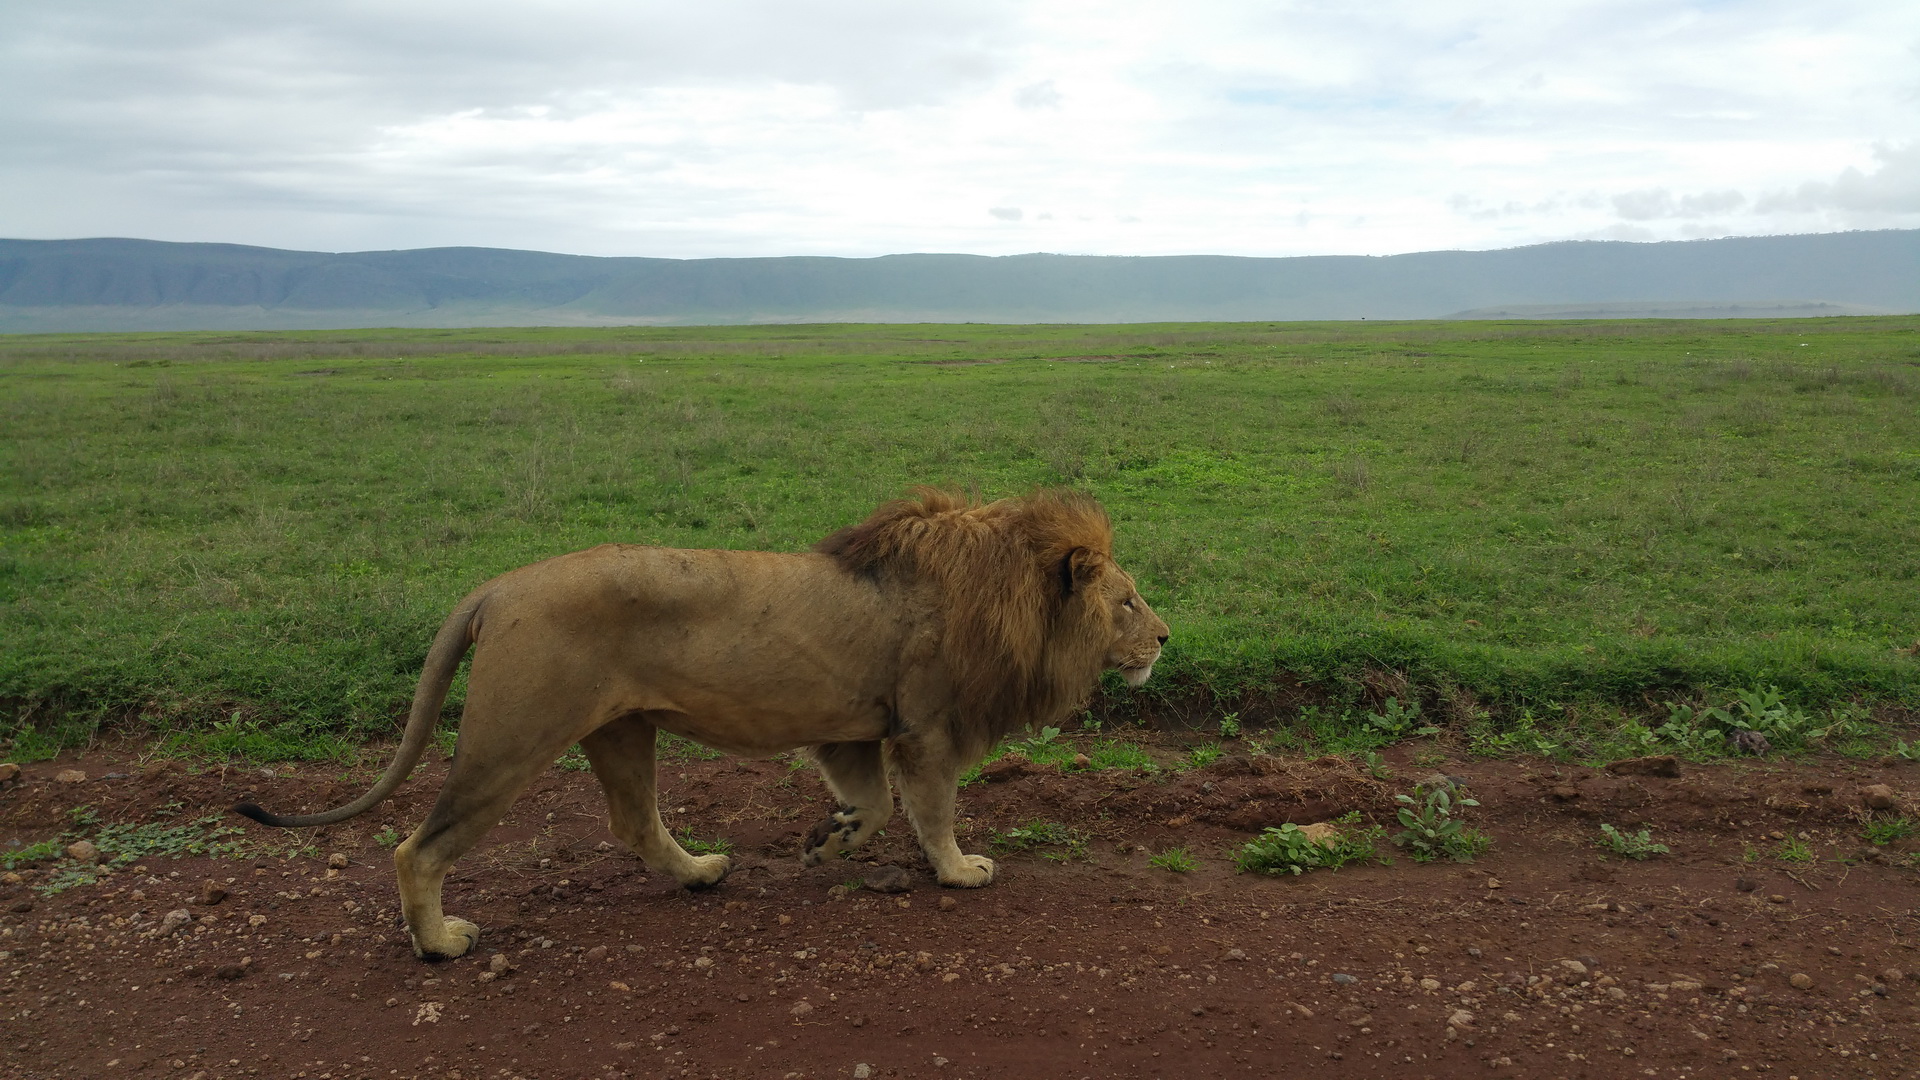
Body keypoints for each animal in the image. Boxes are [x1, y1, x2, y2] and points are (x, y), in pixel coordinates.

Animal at [235, 489, 1168, 961]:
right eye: (1127, 601)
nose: (1164, 638)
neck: (1015, 596)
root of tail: (497, 586)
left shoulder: (855, 731)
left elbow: (869, 806)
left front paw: (827, 841)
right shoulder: (926, 730)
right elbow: (933, 813)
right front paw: (960, 871)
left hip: (621, 730)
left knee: (636, 823)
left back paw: (701, 873)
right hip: (513, 738)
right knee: (417, 847)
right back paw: (439, 943)